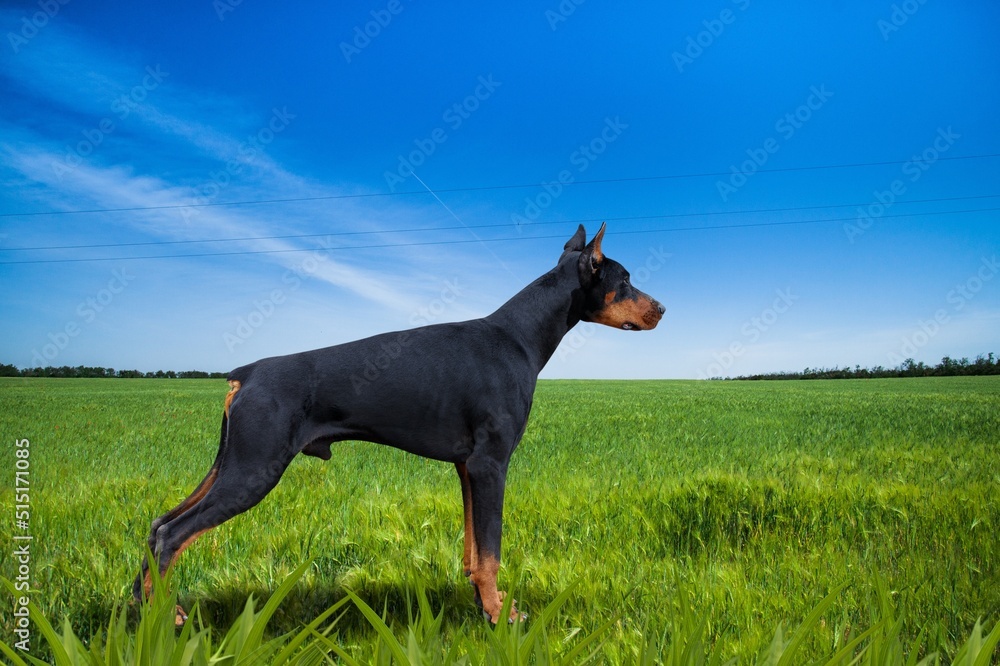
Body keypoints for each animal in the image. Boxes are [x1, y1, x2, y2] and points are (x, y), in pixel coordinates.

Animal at [135, 223, 664, 624]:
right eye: (625, 278)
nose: (661, 309)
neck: (519, 337)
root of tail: (243, 375)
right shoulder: (491, 463)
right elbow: (492, 550)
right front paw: (499, 615)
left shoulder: (467, 468)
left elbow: (475, 549)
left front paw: (479, 602)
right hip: (253, 469)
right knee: (173, 535)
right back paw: (164, 616)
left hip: (230, 464)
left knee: (159, 525)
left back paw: (145, 611)